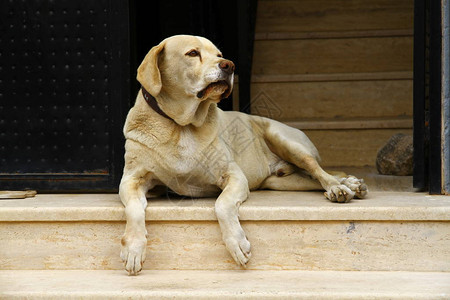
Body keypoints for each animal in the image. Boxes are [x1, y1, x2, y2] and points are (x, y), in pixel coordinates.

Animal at [119, 34, 366, 274]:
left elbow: (222, 204)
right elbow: (134, 209)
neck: (182, 125)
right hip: (280, 182)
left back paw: (341, 187)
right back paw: (350, 185)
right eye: (193, 53)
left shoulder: (233, 176)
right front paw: (133, 248)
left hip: (286, 141)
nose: (229, 65)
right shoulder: (131, 179)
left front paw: (236, 243)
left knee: (319, 171)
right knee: (312, 179)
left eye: (219, 55)